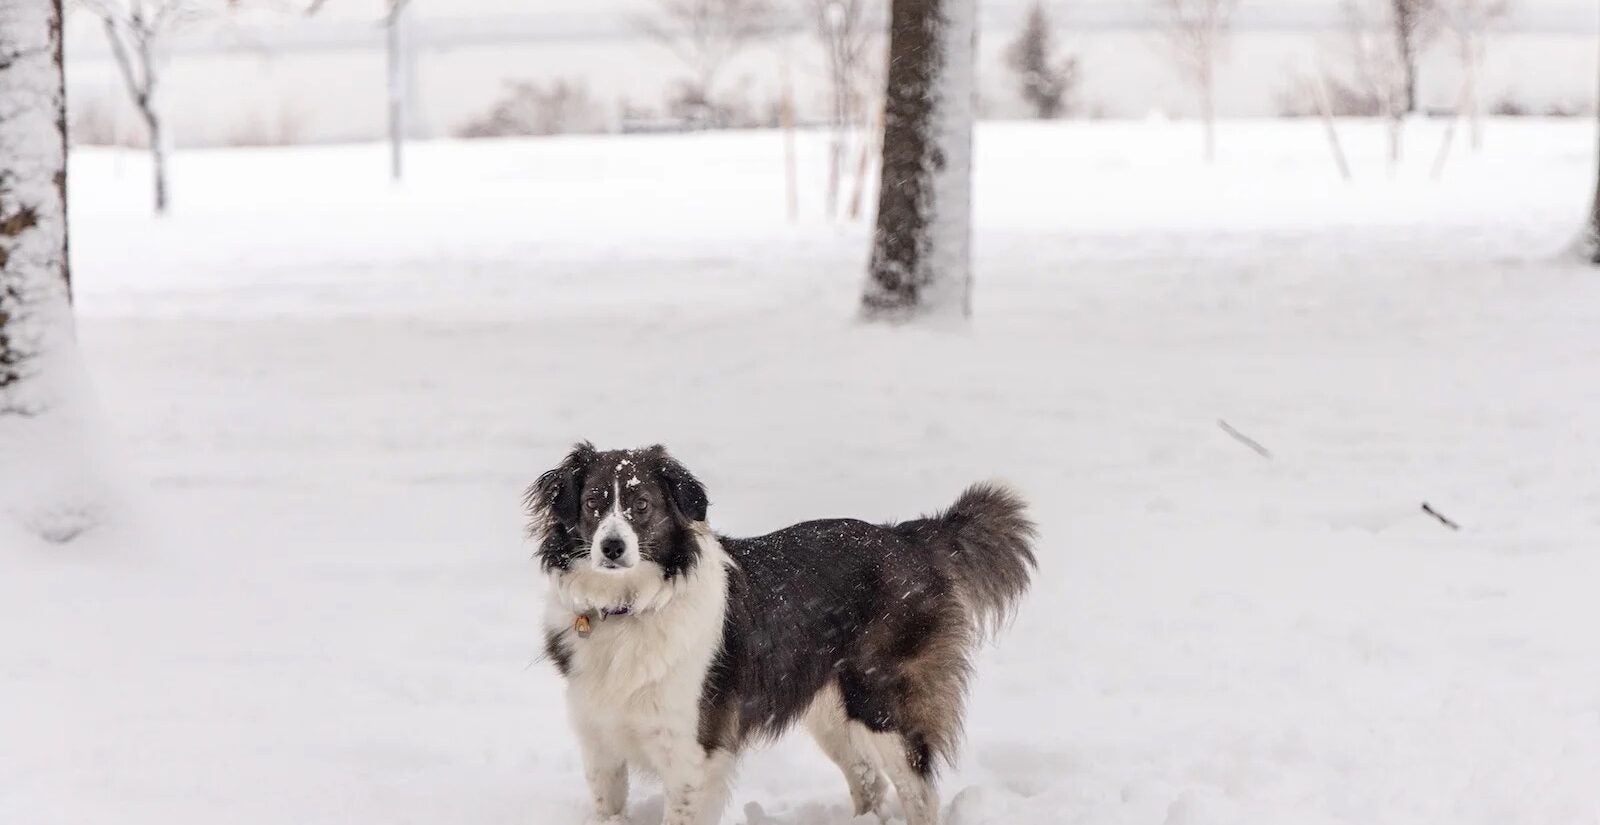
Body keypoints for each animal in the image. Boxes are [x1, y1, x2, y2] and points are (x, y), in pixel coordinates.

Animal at [528, 444, 1036, 825]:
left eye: (641, 506)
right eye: (593, 503)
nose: (612, 547)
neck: (629, 607)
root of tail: (908, 539)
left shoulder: (692, 754)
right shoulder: (601, 746)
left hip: (882, 702)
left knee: (920, 794)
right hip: (832, 710)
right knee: (868, 779)